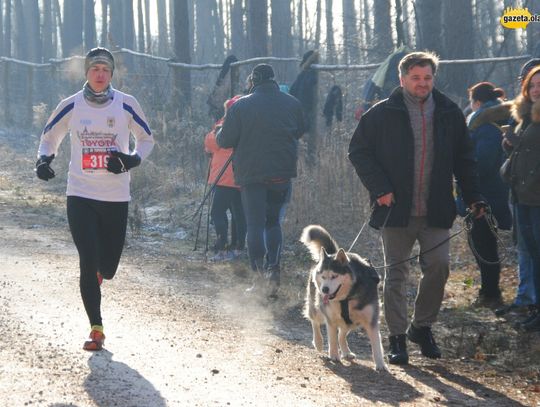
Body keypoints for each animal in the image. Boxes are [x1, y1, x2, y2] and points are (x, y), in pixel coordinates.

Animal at [300, 225, 388, 372]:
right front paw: (334, 355)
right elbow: (332, 338)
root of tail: (333, 253)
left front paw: (380, 364)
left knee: (342, 333)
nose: (324, 290)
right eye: (323, 276)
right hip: (318, 309)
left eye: (334, 276)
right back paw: (318, 342)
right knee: (315, 321)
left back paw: (346, 351)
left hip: (353, 322)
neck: (347, 297)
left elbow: (376, 343)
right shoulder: (330, 318)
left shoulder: (371, 320)